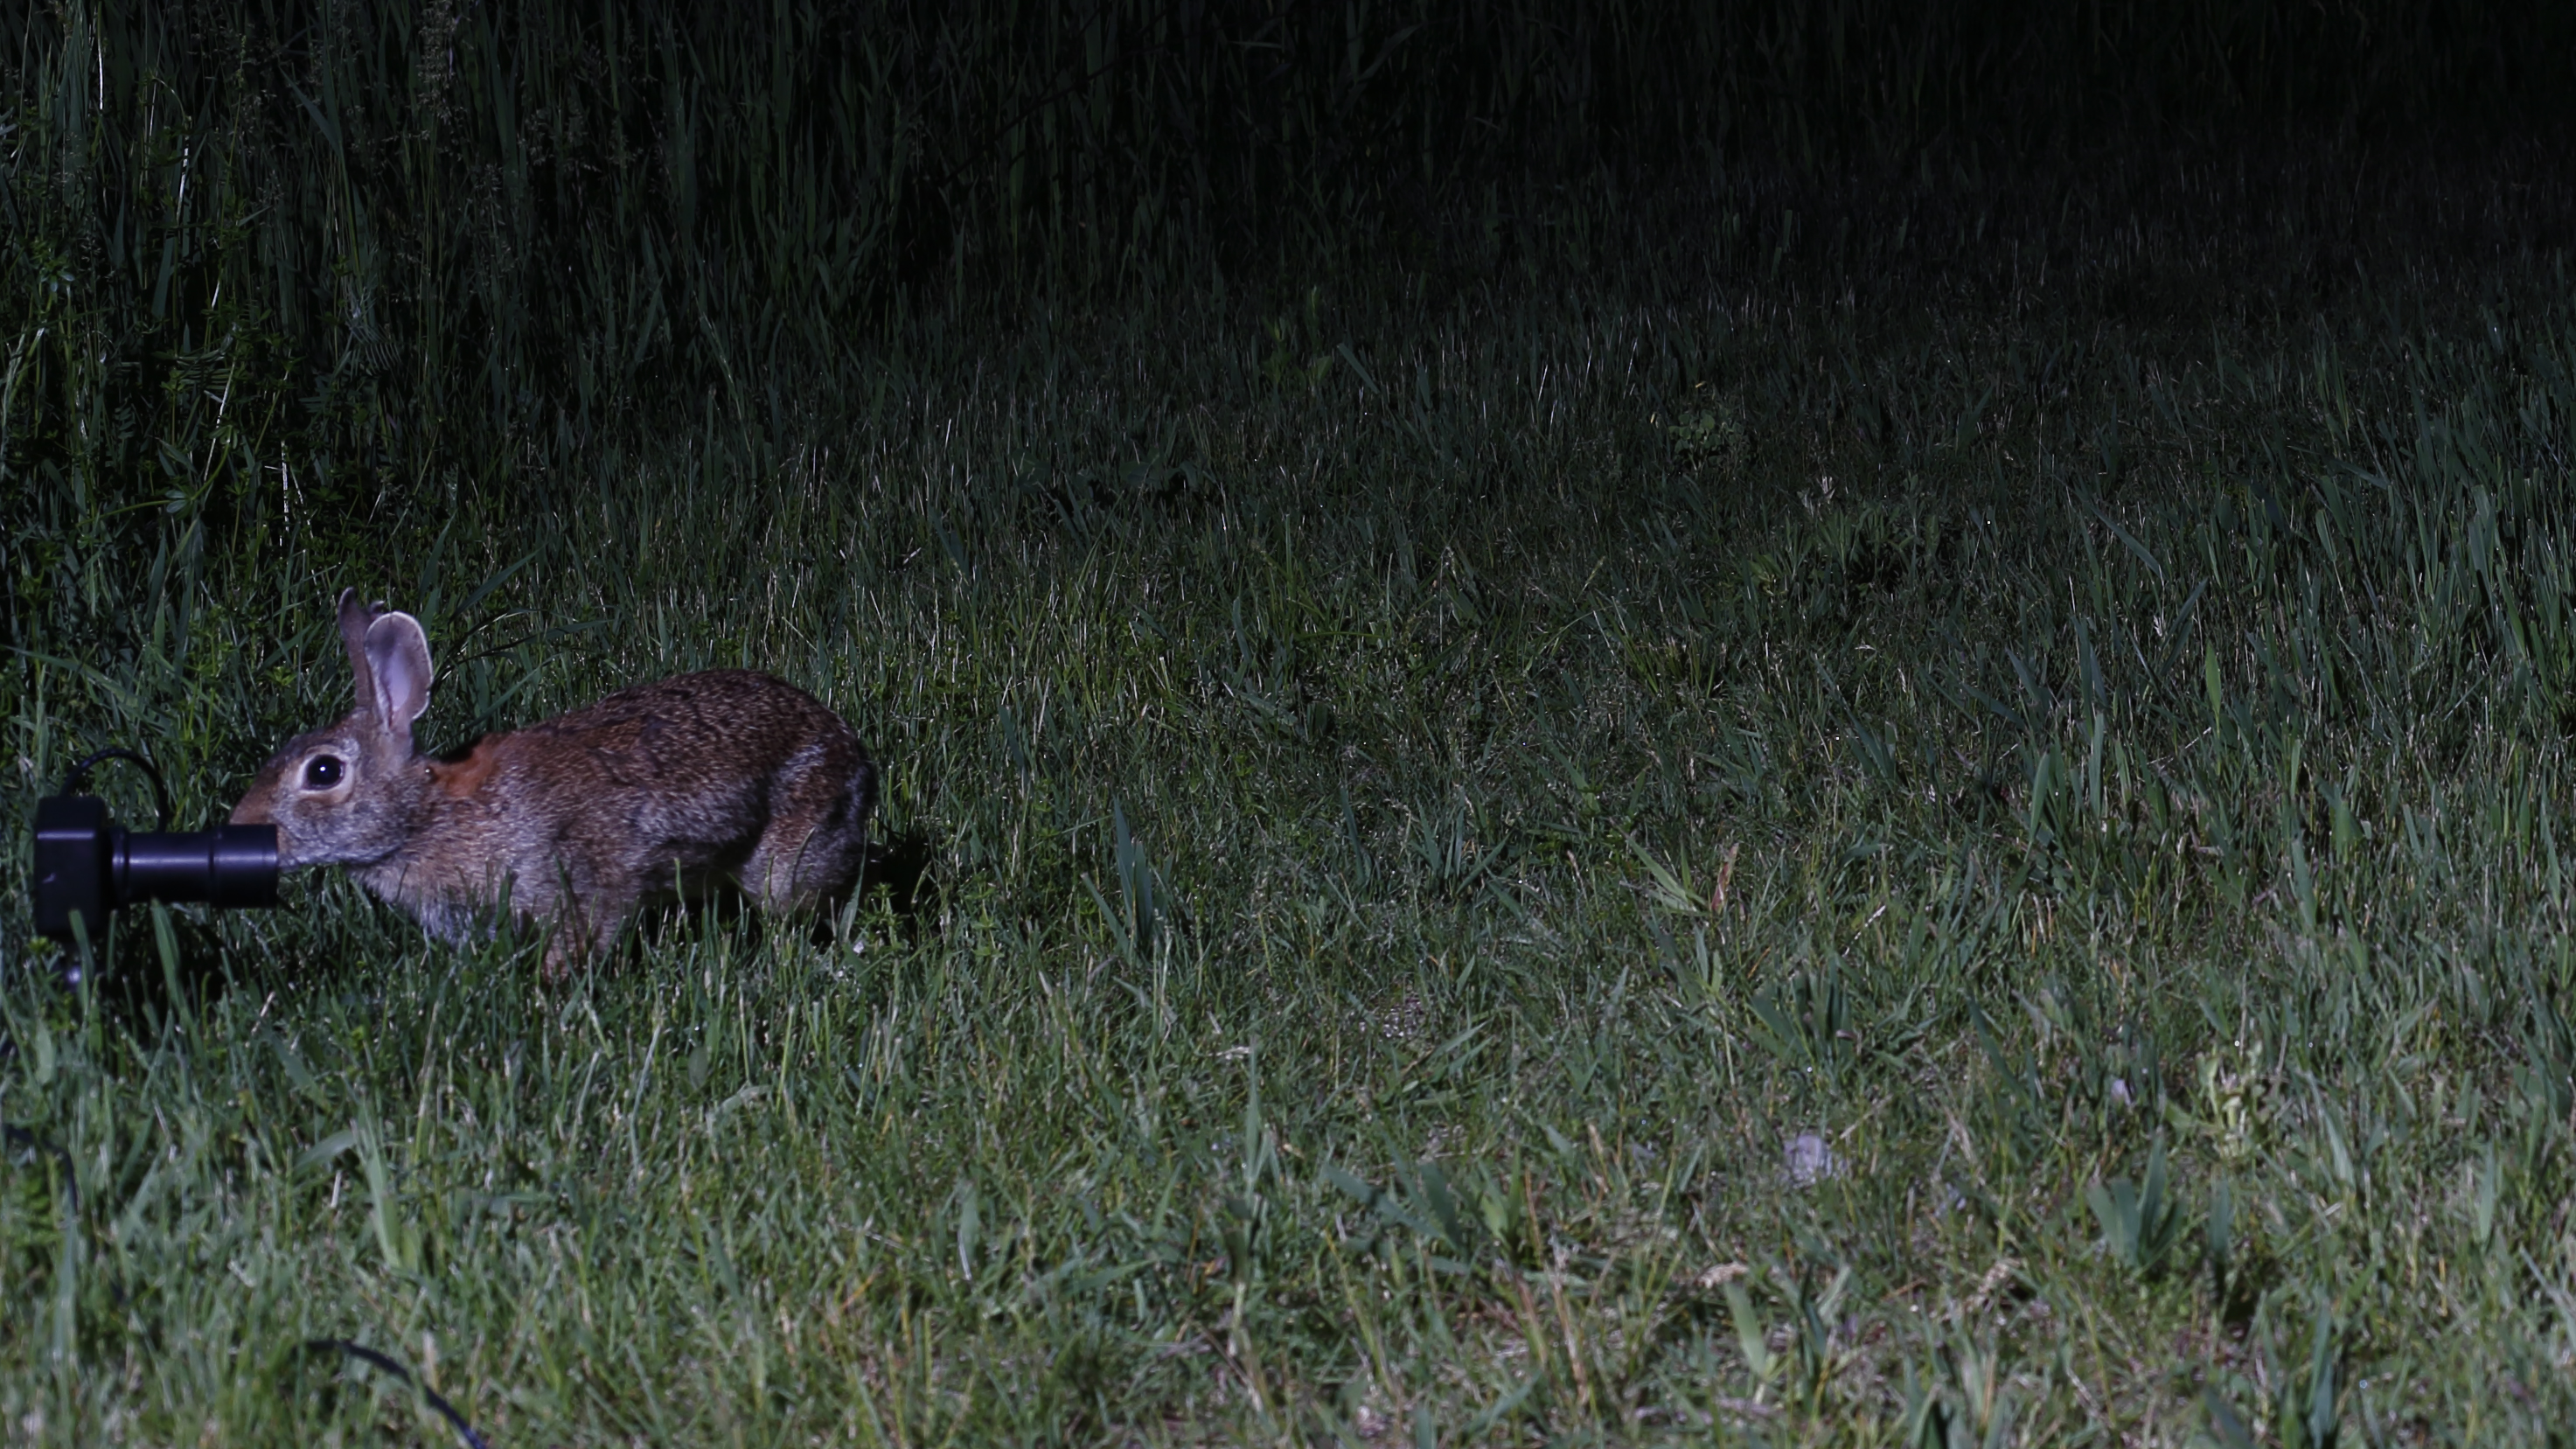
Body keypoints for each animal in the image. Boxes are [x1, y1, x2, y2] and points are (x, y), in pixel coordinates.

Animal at [231, 589, 877, 977]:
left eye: (323, 771)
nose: (241, 824)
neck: (425, 816)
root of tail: (853, 752)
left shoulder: (583, 879)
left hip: (788, 859)